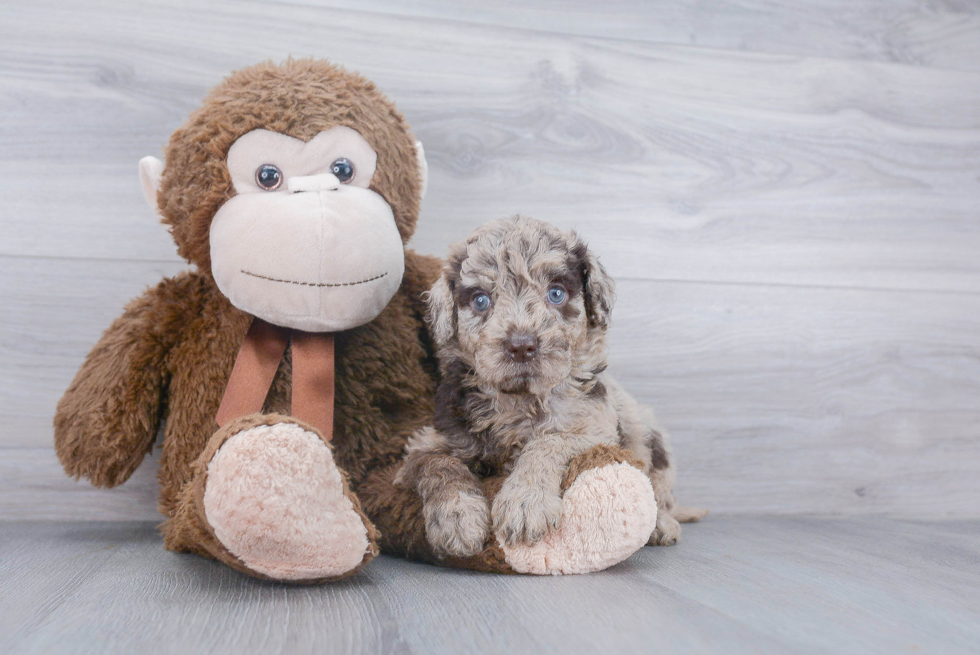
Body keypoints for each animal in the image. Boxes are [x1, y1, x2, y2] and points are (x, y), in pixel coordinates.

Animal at [394, 215, 700, 560]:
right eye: (481, 300)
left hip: (654, 442)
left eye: (556, 294)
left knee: (660, 492)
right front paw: (457, 518)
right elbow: (438, 464)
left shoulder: (592, 427)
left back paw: (662, 524)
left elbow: (548, 442)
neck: (518, 401)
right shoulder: (426, 442)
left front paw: (525, 503)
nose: (521, 346)